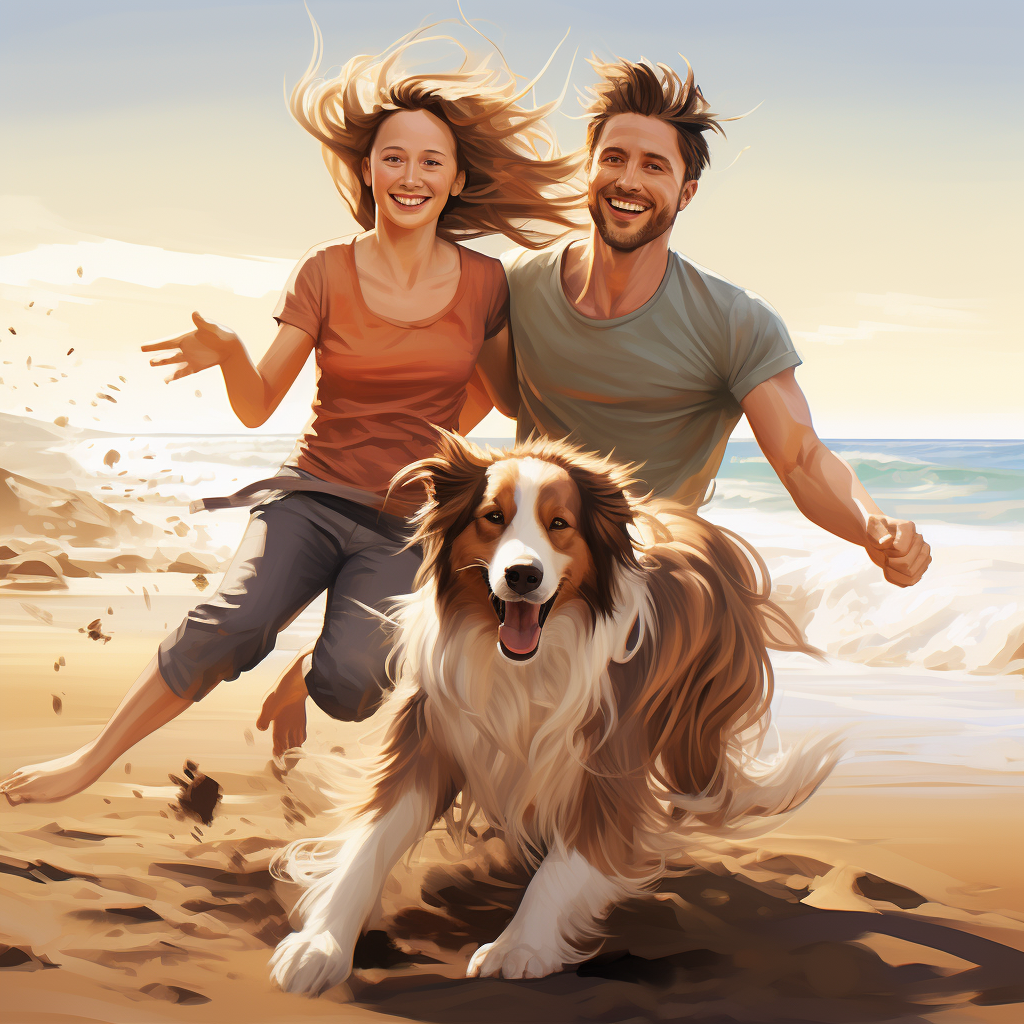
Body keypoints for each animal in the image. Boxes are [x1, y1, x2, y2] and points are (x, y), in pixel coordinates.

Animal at [268, 436, 835, 995]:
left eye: (559, 524)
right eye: (493, 517)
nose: (523, 574)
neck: (523, 666)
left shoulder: (608, 763)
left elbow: (567, 864)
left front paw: (519, 945)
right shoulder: (430, 732)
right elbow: (369, 842)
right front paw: (320, 945)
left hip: (695, 728)